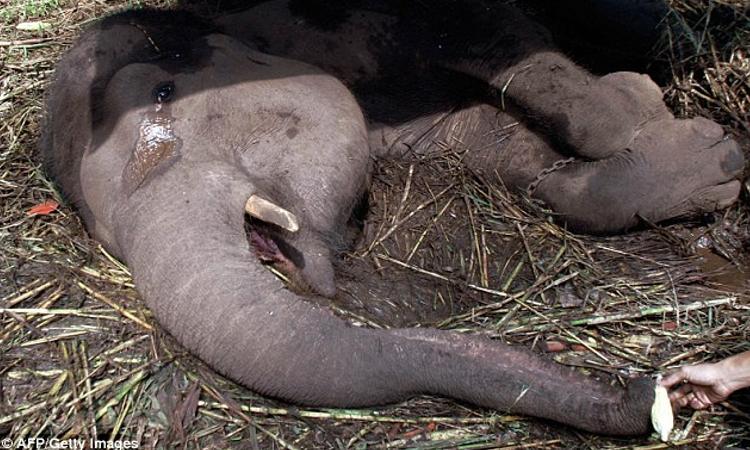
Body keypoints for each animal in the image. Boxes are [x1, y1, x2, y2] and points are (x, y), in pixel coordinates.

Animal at [41, 1, 744, 436]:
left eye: (162, 92)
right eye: (102, 232)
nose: (643, 392)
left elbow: (507, 51)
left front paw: (704, 147)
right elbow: (485, 141)